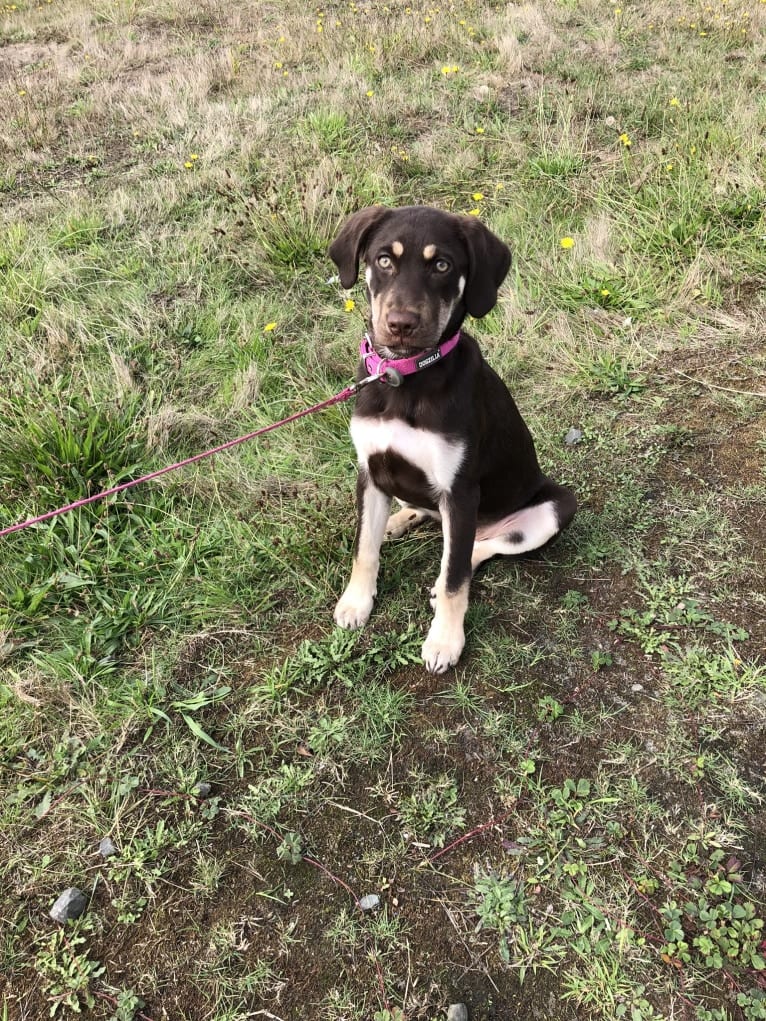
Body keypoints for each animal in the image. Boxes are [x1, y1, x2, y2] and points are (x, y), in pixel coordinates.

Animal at [330, 205, 576, 669]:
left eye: (442, 265)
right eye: (384, 260)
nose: (400, 325)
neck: (405, 378)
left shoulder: (459, 490)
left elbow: (454, 577)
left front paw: (444, 641)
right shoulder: (369, 472)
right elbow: (364, 549)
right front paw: (355, 602)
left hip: (553, 508)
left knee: (477, 547)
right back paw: (400, 519)